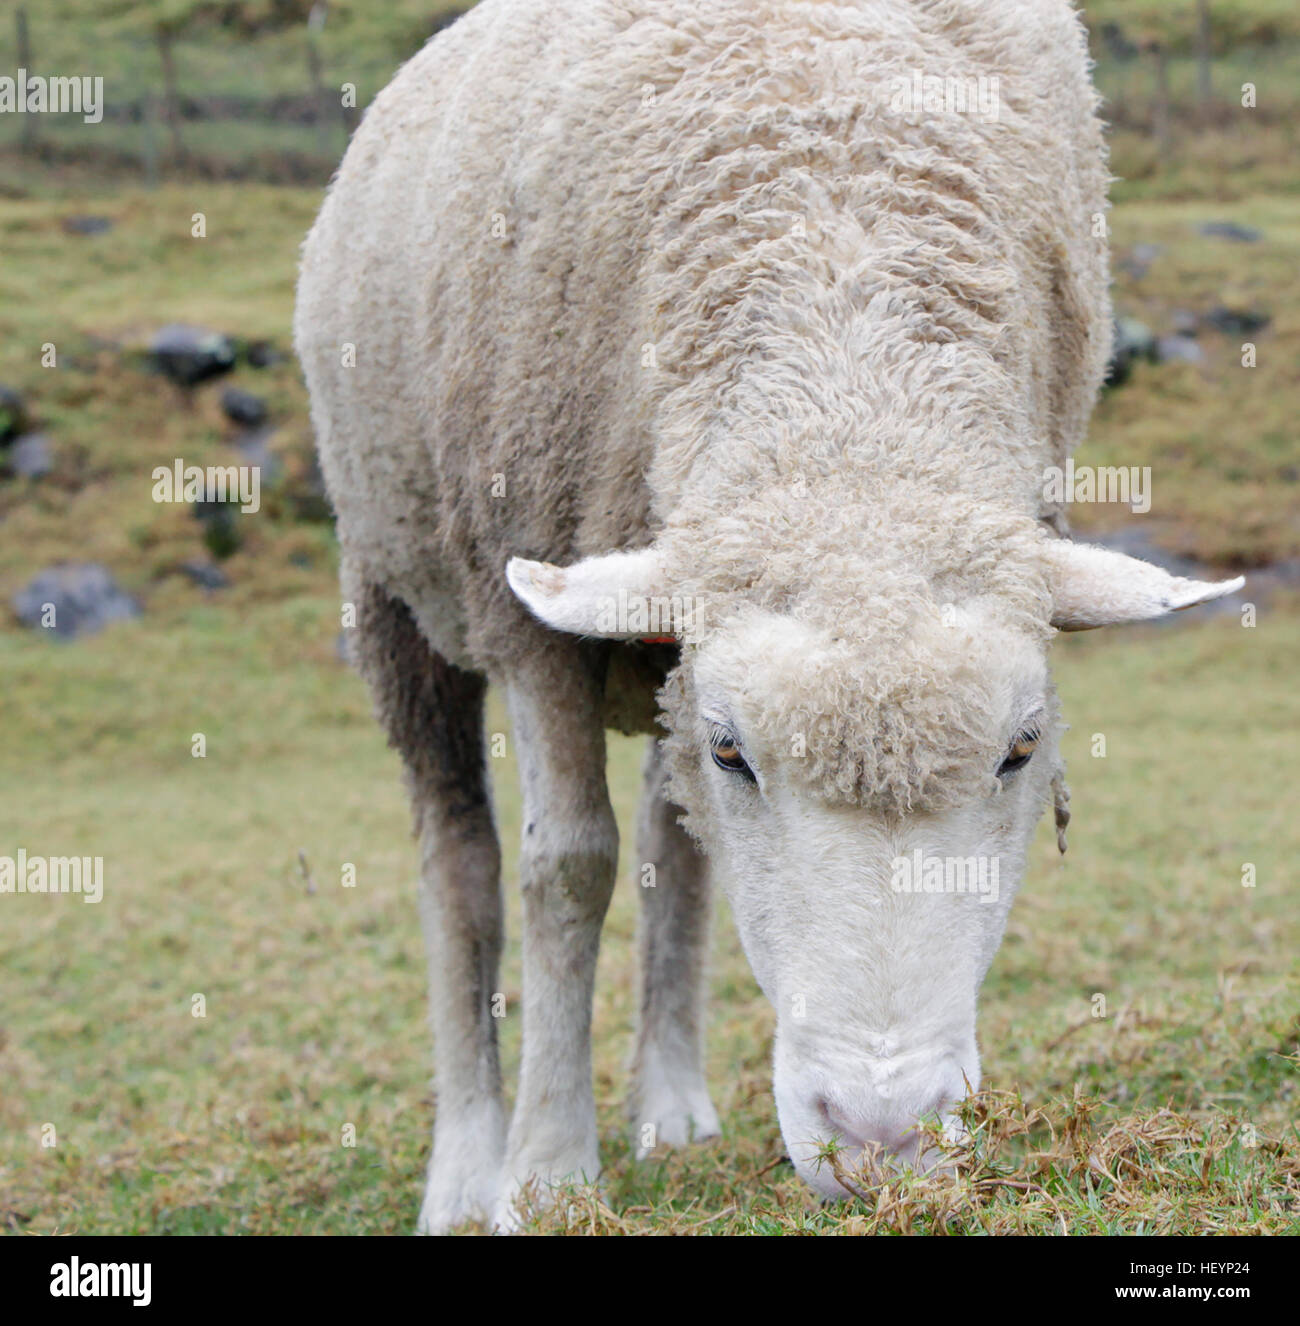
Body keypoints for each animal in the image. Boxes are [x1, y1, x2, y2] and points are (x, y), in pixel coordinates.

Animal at [294, 0, 1244, 1231]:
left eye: (1021, 751)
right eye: (734, 752)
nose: (880, 1142)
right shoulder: (529, 619)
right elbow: (566, 872)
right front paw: (546, 1174)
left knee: (676, 847)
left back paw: (670, 1110)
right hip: (397, 587)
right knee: (460, 860)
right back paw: (463, 1166)